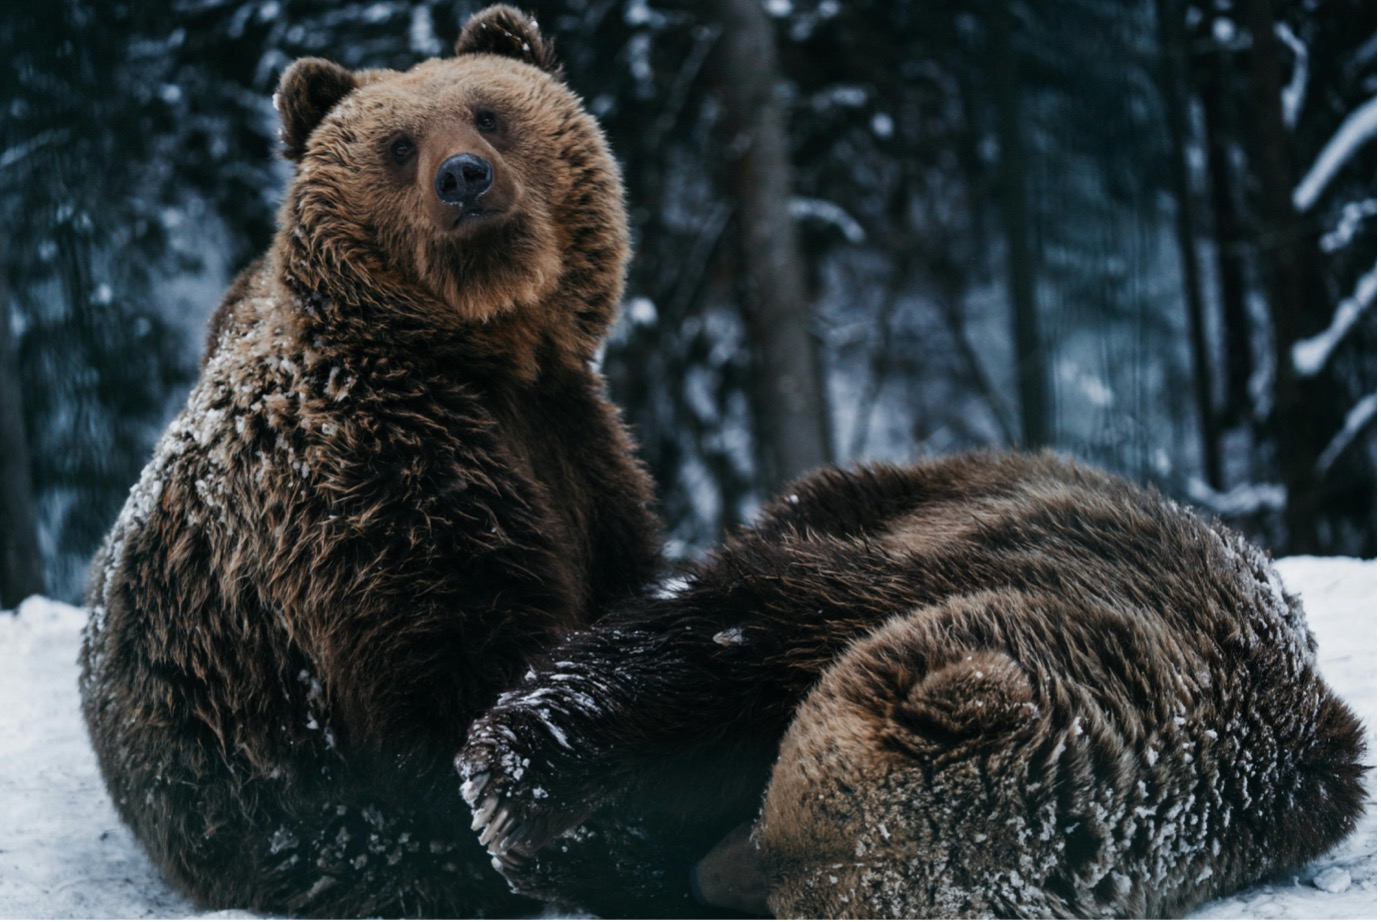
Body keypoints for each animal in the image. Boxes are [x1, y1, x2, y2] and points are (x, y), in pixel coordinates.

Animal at [80, 5, 662, 916]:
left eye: (488, 112)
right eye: (398, 144)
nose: (463, 176)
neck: (487, 354)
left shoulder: (573, 443)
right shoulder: (370, 481)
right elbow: (450, 657)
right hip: (250, 797)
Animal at [458, 449, 1364, 916]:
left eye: (796, 898)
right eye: (776, 810)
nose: (706, 879)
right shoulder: (967, 571)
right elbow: (729, 638)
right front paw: (517, 782)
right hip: (903, 492)